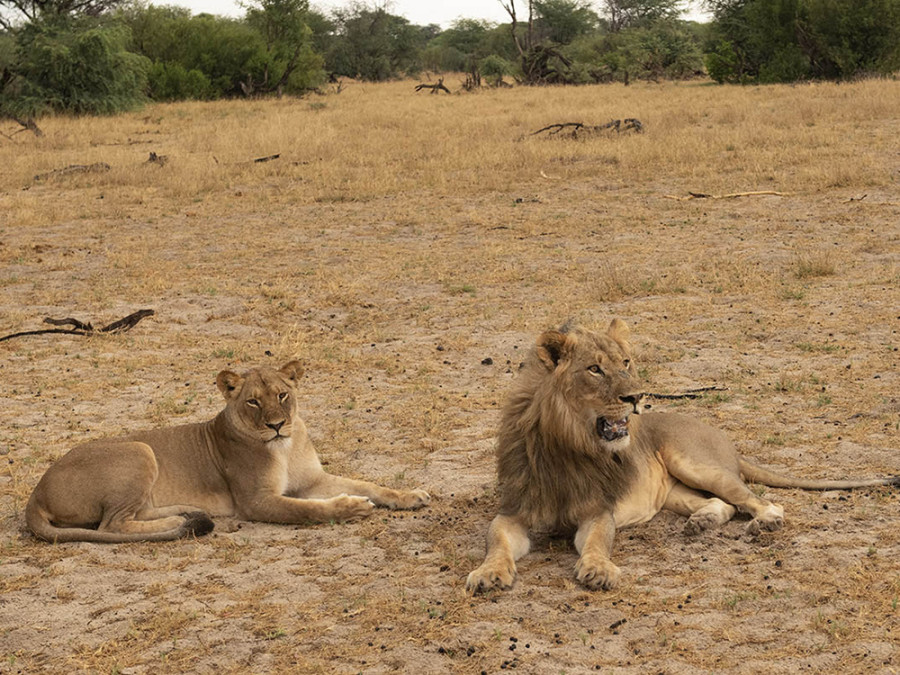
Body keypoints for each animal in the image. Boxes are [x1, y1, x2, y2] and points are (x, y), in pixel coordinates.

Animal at [26, 360, 430, 544]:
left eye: (282, 394)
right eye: (253, 401)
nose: (277, 424)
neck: (284, 447)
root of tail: (35, 494)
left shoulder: (313, 480)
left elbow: (369, 484)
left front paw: (411, 496)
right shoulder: (256, 501)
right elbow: (308, 510)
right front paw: (351, 508)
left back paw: (188, 513)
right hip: (139, 450)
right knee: (112, 525)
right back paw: (180, 524)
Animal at [468, 322, 896, 592]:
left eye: (626, 363)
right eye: (594, 369)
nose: (636, 397)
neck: (567, 444)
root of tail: (728, 442)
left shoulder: (597, 512)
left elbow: (597, 543)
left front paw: (598, 569)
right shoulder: (514, 512)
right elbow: (496, 542)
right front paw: (487, 574)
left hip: (693, 462)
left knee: (760, 501)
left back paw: (764, 524)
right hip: (673, 492)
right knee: (723, 505)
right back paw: (702, 523)